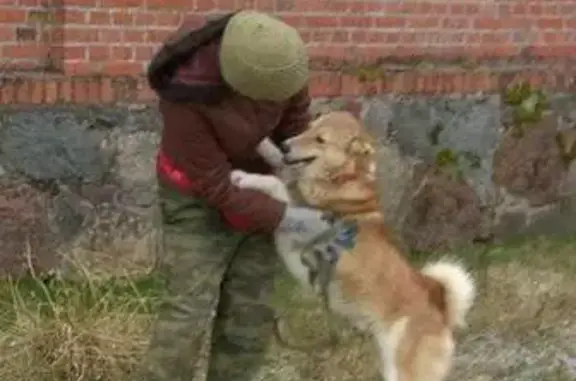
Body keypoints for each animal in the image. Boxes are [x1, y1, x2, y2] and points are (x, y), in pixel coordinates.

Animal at [228, 110, 472, 380]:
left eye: (320, 139)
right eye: (309, 127)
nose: (285, 145)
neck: (341, 181)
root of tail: (441, 311)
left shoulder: (298, 224)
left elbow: (275, 184)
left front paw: (245, 178)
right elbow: (278, 168)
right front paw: (262, 143)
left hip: (403, 370)